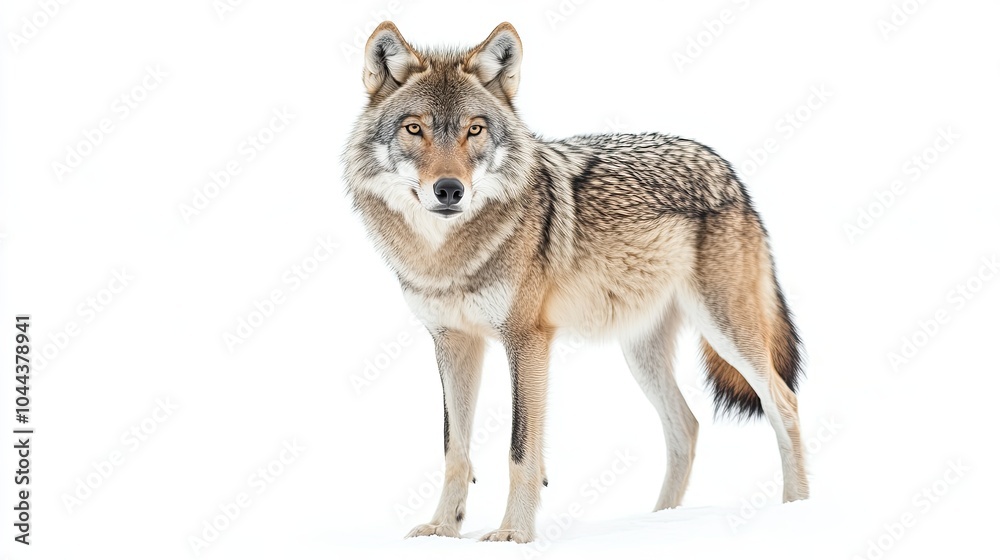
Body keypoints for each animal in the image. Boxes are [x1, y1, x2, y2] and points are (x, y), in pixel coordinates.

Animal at [343, 22, 808, 543]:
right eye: (414, 128)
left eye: (474, 129)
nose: (449, 190)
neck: (446, 256)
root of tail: (728, 171)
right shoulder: (452, 341)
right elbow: (454, 450)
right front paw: (443, 529)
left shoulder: (526, 341)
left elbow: (521, 451)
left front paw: (513, 534)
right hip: (641, 353)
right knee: (686, 426)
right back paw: (659, 522)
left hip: (726, 331)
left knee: (784, 402)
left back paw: (796, 508)